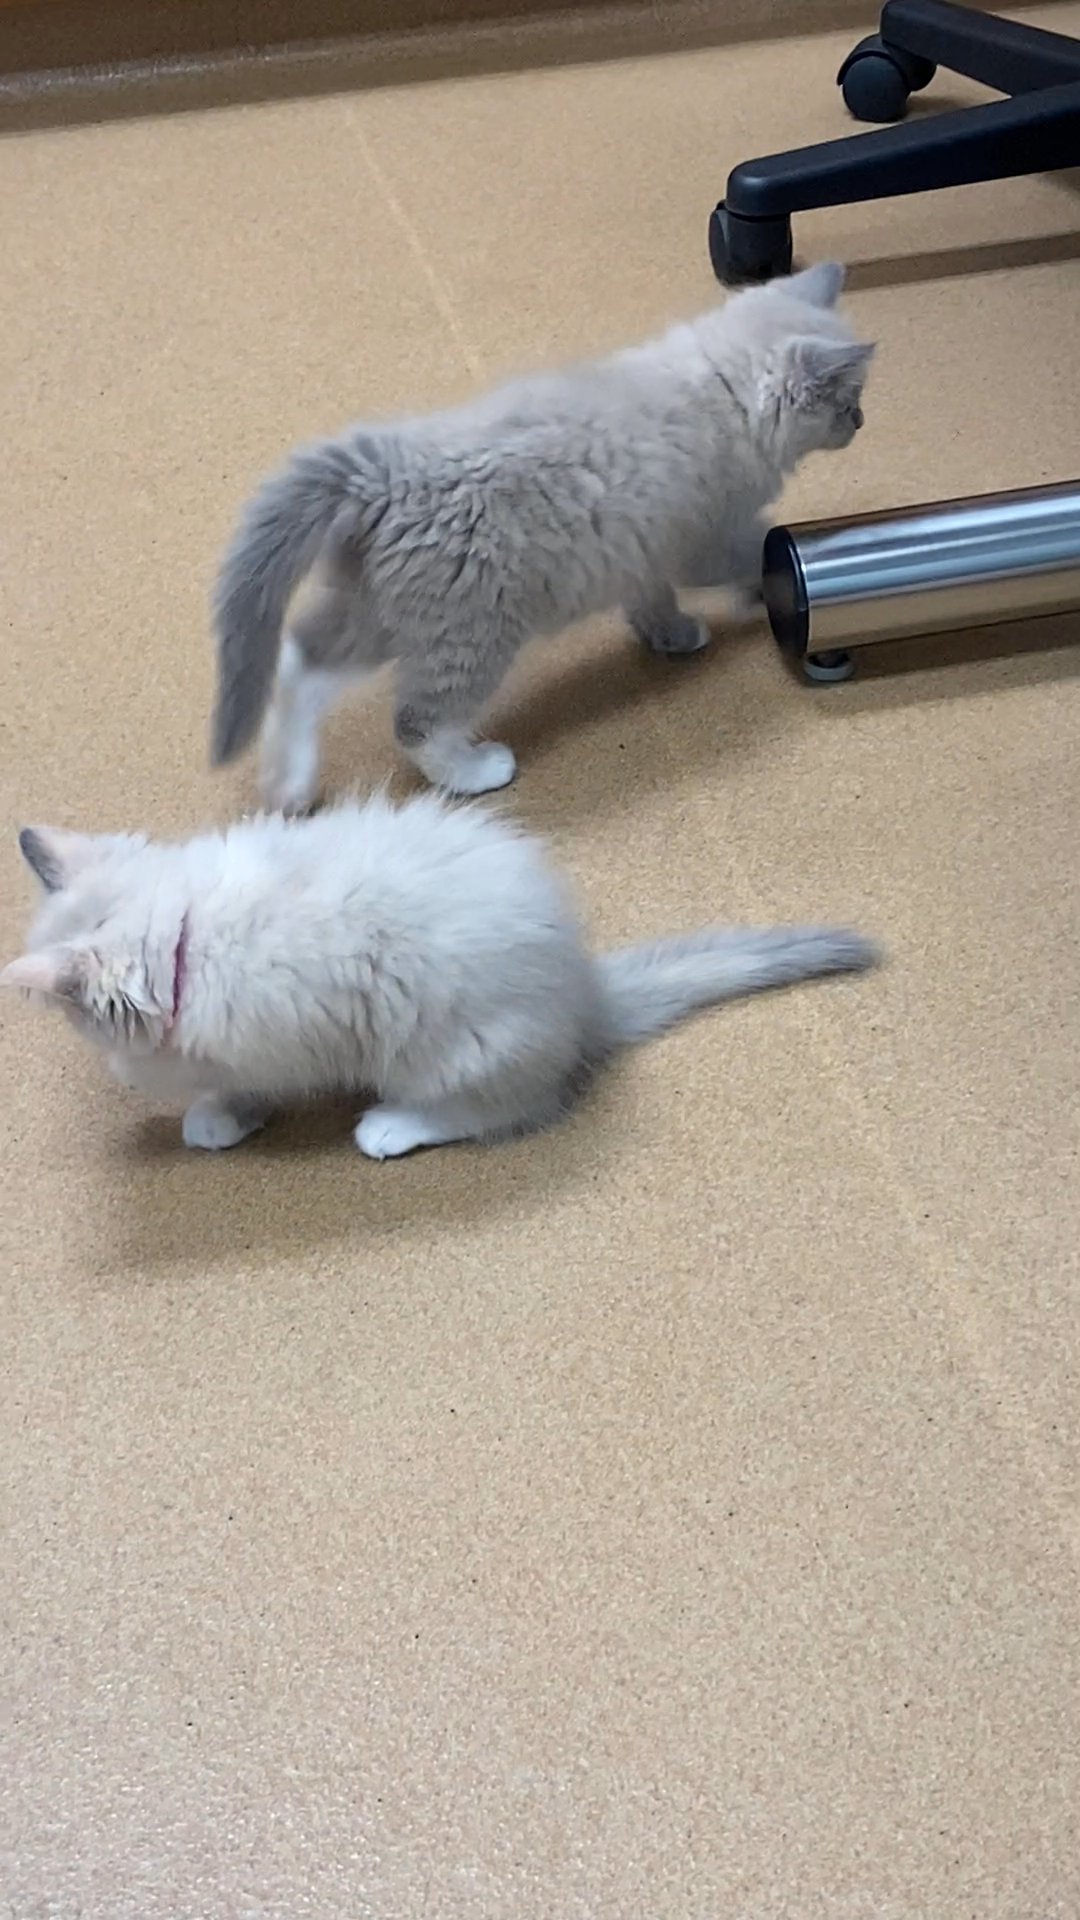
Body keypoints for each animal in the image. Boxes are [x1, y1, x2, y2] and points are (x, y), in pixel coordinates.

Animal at [2, 802, 876, 1159]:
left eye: (77, 1019)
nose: (105, 1066)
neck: (187, 932)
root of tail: (587, 993)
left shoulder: (273, 1044)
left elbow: (244, 1085)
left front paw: (216, 1118)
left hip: (450, 1051)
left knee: (514, 1108)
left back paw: (391, 1127)